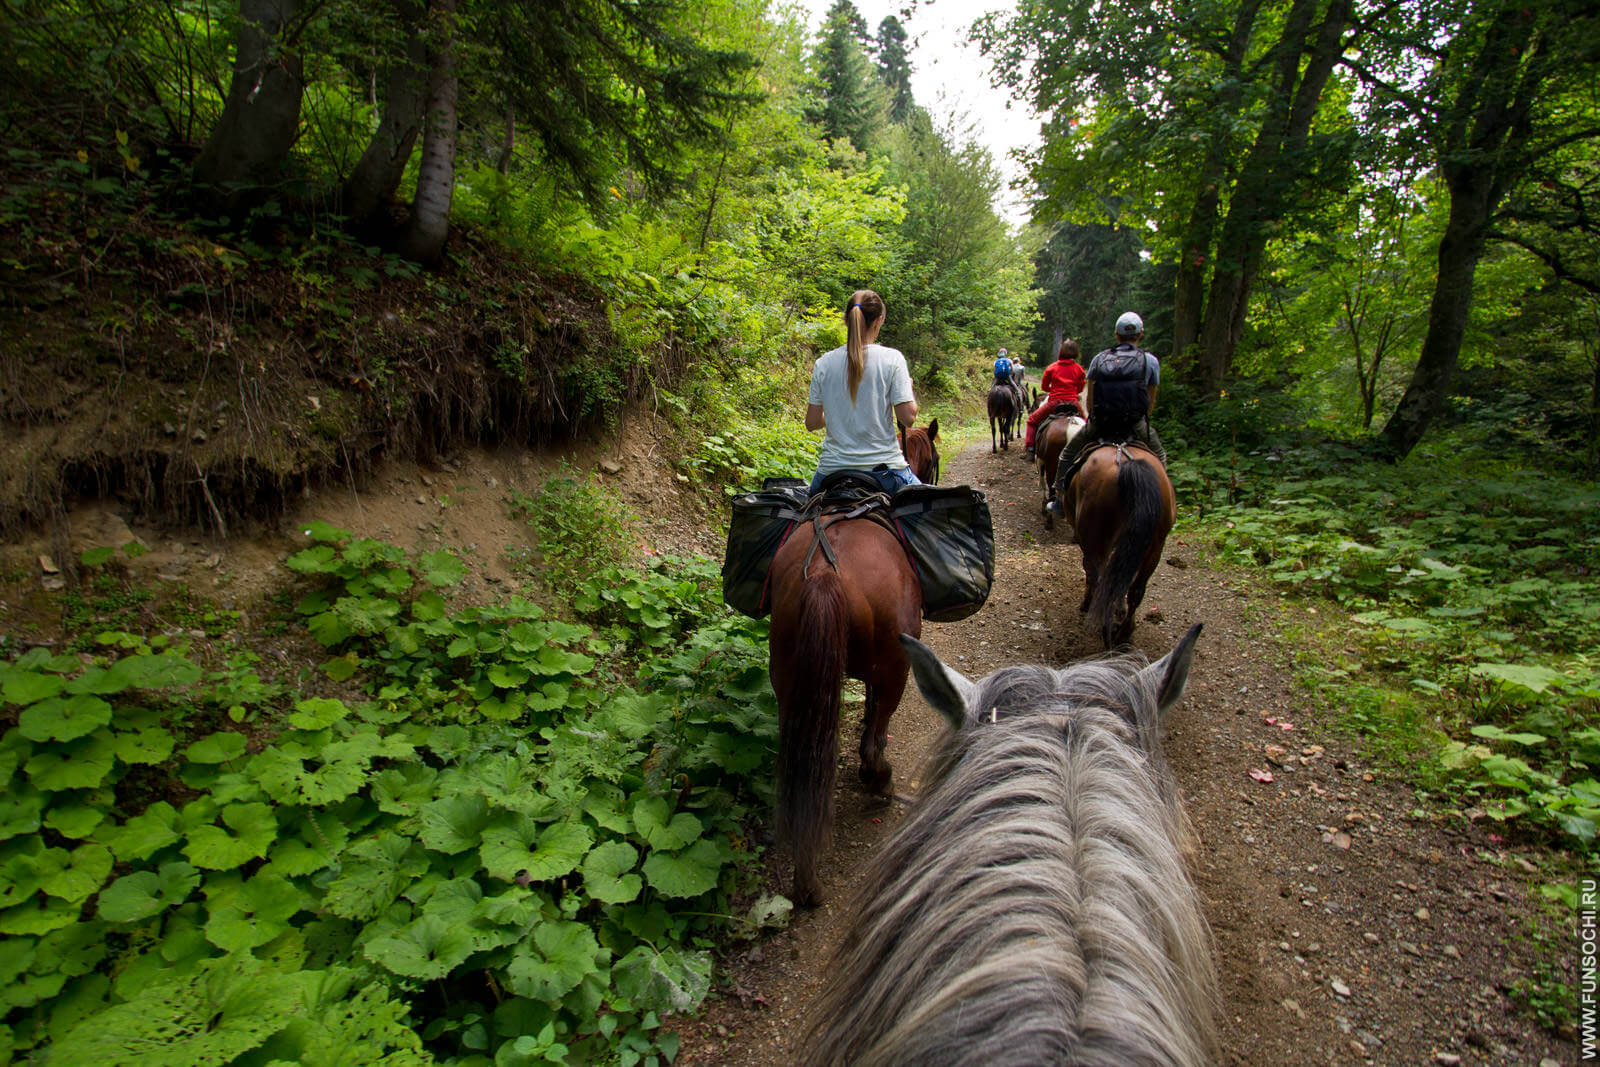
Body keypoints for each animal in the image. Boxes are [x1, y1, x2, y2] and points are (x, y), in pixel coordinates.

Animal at [764, 495, 921, 908]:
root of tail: (824, 574)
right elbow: (873, 721)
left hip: (789, 678)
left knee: (802, 774)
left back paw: (807, 886)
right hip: (897, 667)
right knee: (873, 744)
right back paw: (881, 783)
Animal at [1062, 444, 1177, 646]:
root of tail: (1127, 463)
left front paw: (1086, 604)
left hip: (1098, 541)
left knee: (1104, 583)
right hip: (1155, 548)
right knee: (1135, 590)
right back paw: (1123, 633)